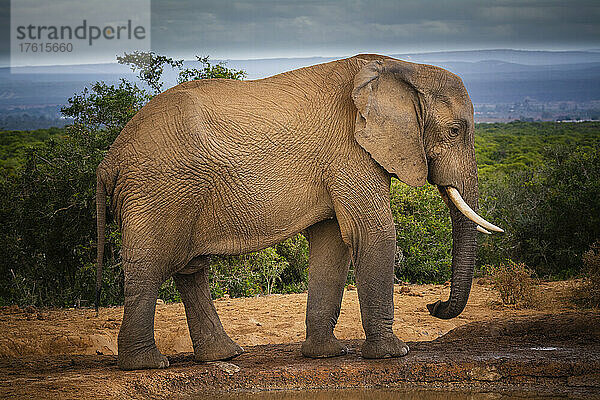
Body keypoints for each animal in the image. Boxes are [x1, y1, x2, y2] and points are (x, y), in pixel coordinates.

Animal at [95, 54, 502, 372]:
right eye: (455, 130)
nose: (434, 305)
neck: (403, 67)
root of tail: (109, 159)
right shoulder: (351, 149)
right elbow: (373, 233)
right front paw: (393, 353)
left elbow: (332, 242)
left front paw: (327, 355)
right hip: (158, 189)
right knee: (150, 266)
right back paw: (147, 364)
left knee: (191, 268)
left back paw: (222, 356)